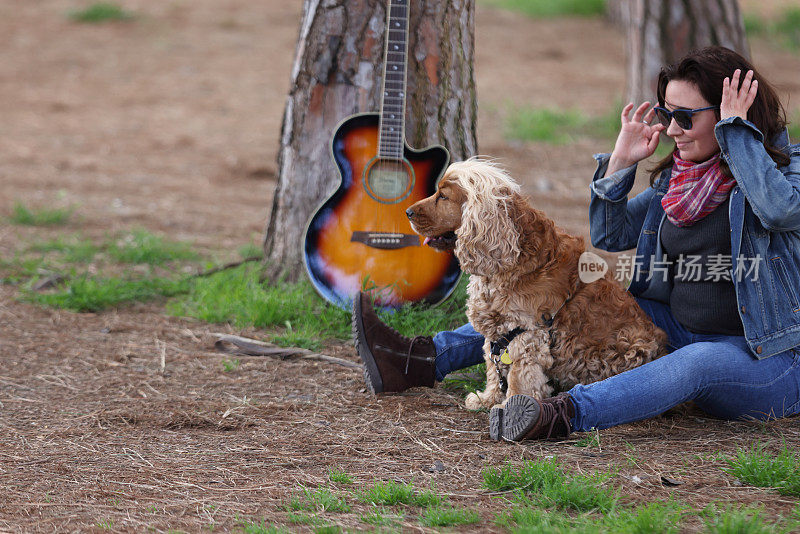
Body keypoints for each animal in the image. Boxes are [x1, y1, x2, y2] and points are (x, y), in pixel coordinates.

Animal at [406, 159, 668, 410]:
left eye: (443, 196)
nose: (407, 211)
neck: (508, 258)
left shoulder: (527, 333)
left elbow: (517, 375)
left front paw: (510, 407)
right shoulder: (498, 330)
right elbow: (493, 365)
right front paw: (487, 399)